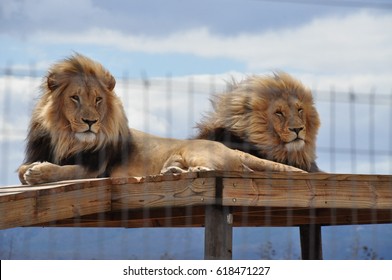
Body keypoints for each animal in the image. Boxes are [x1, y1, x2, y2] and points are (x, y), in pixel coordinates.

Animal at [16, 54, 304, 186]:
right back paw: (173, 170)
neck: (67, 138)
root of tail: (230, 149)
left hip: (198, 152)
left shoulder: (96, 170)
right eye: (75, 98)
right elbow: (21, 170)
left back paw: (185, 171)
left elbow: (65, 171)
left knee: (216, 169)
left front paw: (39, 172)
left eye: (98, 100)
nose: (90, 122)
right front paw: (33, 169)